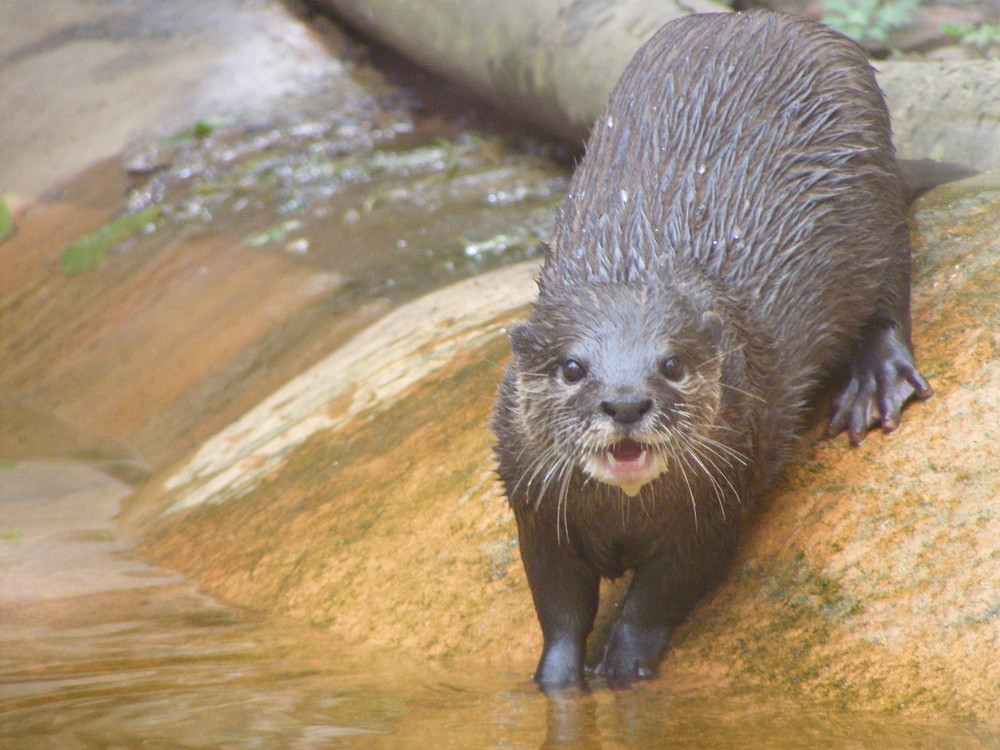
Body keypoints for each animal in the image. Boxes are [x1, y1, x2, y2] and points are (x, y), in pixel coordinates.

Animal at [492, 11, 928, 692]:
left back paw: (876, 383)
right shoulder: (538, 510)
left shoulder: (717, 506)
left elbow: (660, 597)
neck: (623, 519)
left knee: (888, 299)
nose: (624, 402)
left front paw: (623, 669)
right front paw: (558, 683)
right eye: (572, 368)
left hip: (875, 203)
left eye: (671, 365)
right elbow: (558, 606)